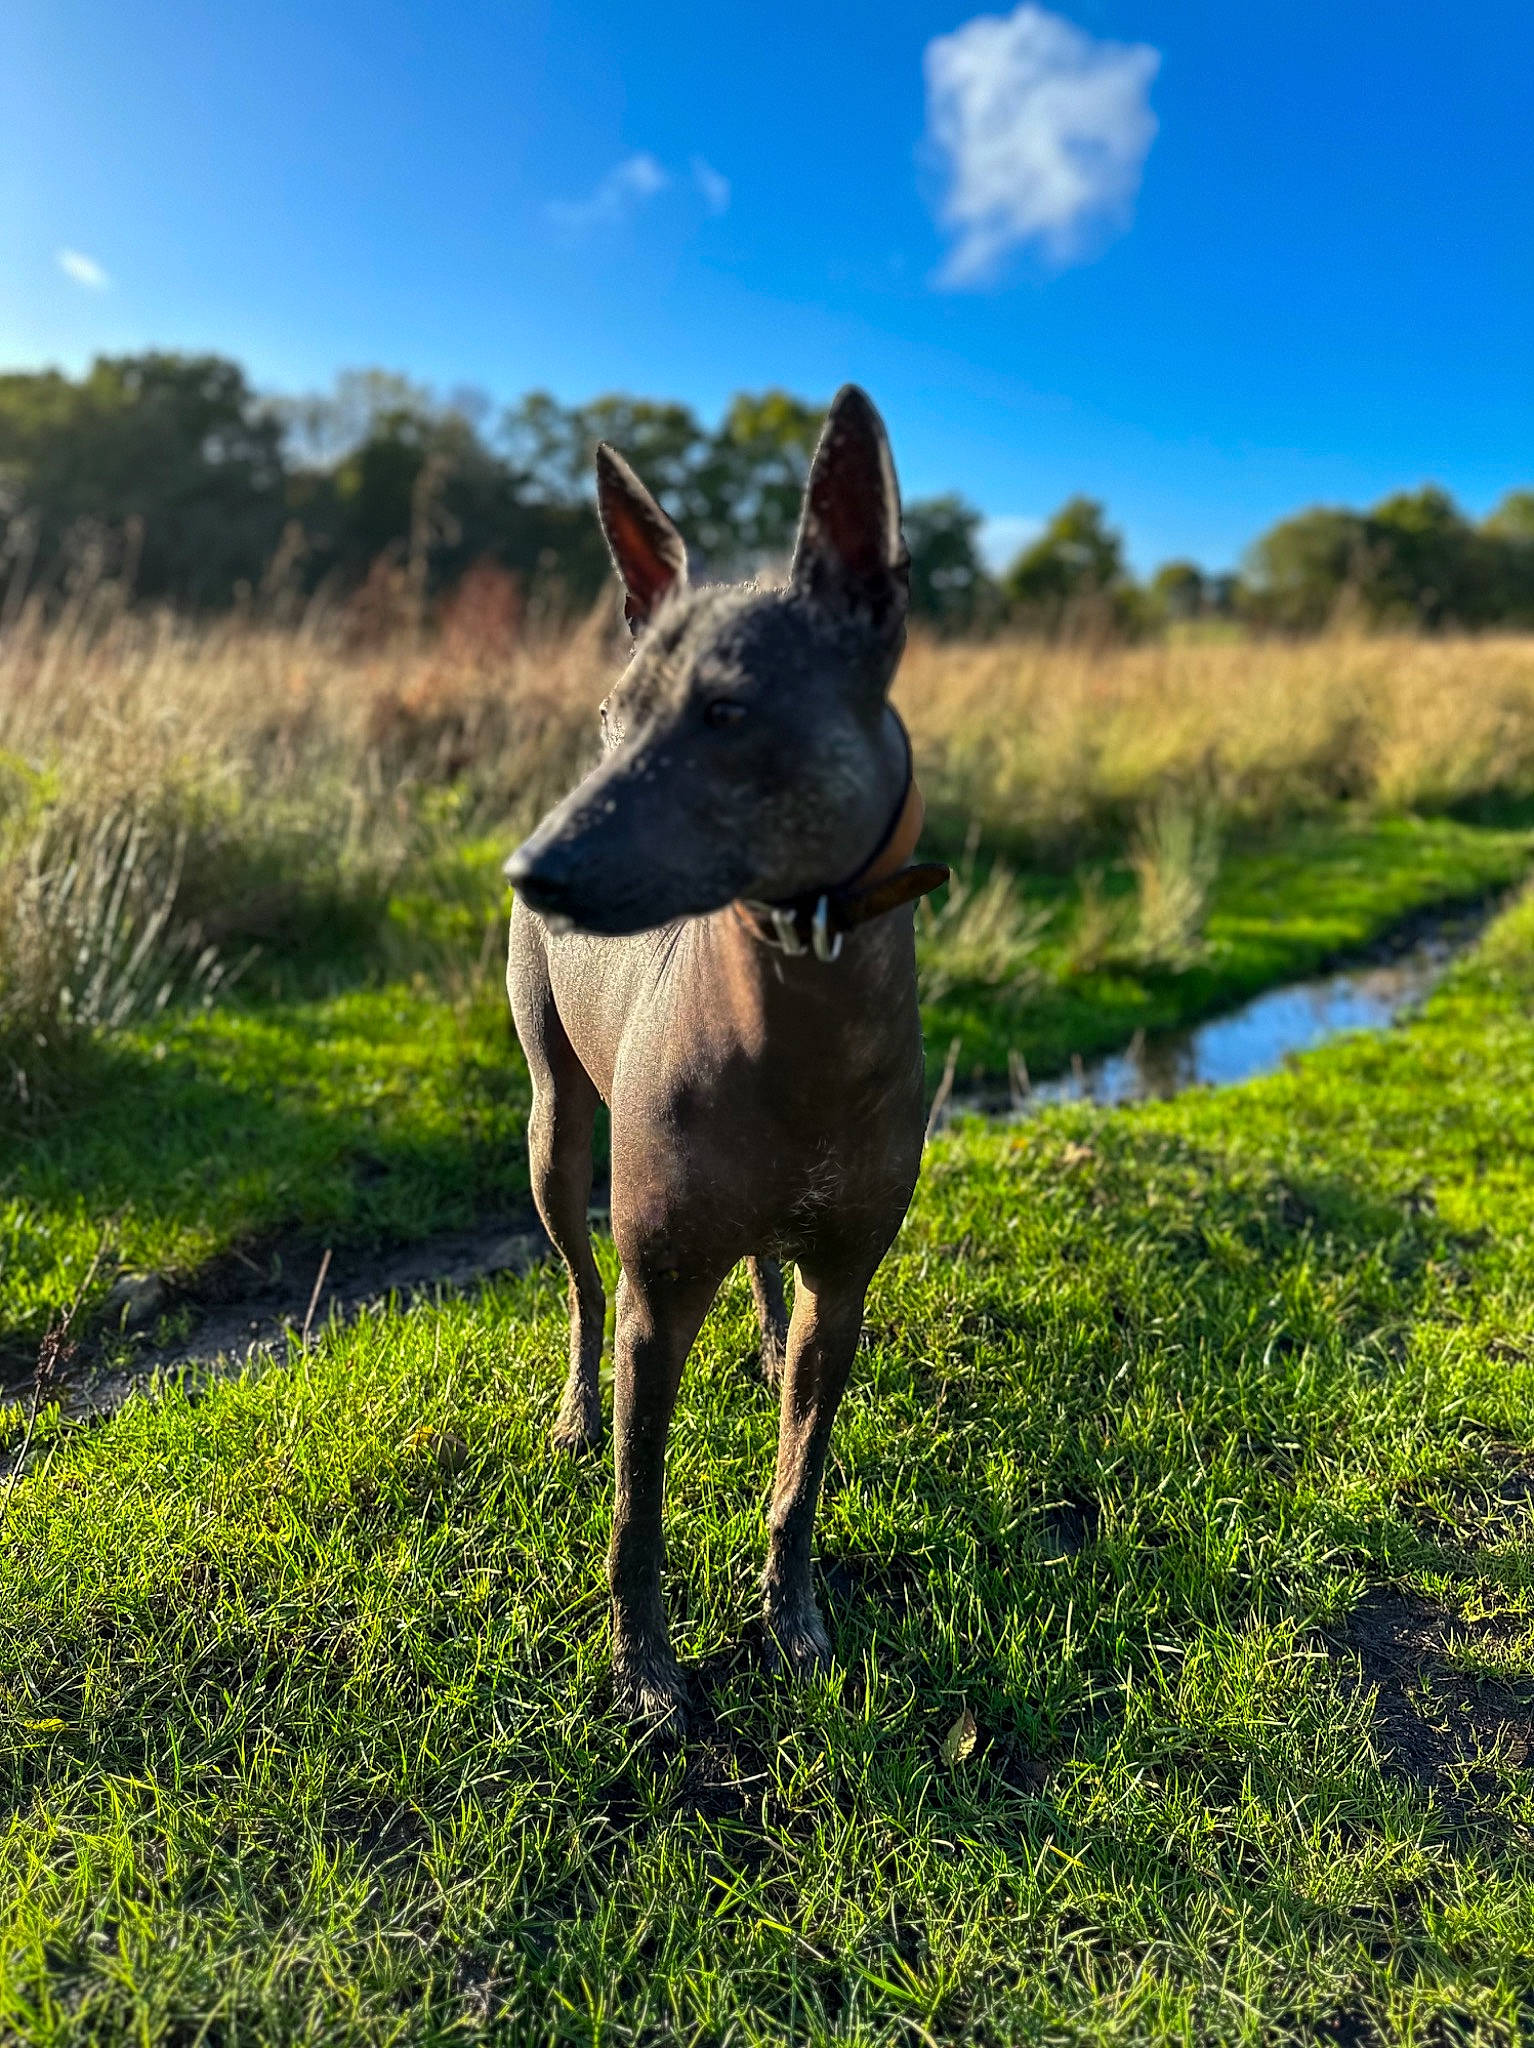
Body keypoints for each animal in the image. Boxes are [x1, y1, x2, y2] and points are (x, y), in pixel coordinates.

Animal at [504, 386, 947, 1732]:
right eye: (615, 721)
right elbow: (636, 1513)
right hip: (556, 1140)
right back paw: (573, 1412)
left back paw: (756, 1346)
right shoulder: (658, 1302)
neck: (799, 1015)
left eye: (728, 713)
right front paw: (644, 1672)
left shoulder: (846, 1286)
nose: (529, 870)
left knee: (761, 1269)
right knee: (580, 1292)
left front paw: (792, 1621)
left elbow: (800, 1478)